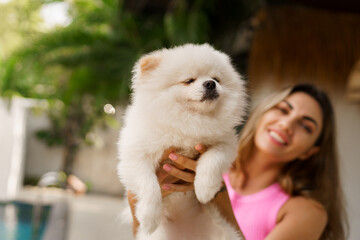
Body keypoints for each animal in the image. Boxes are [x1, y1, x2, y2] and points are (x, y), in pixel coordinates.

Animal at [118, 43, 248, 240]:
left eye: (216, 78)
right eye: (188, 80)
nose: (210, 83)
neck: (189, 121)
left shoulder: (225, 144)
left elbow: (212, 161)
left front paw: (205, 189)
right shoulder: (135, 156)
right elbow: (148, 184)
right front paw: (148, 217)